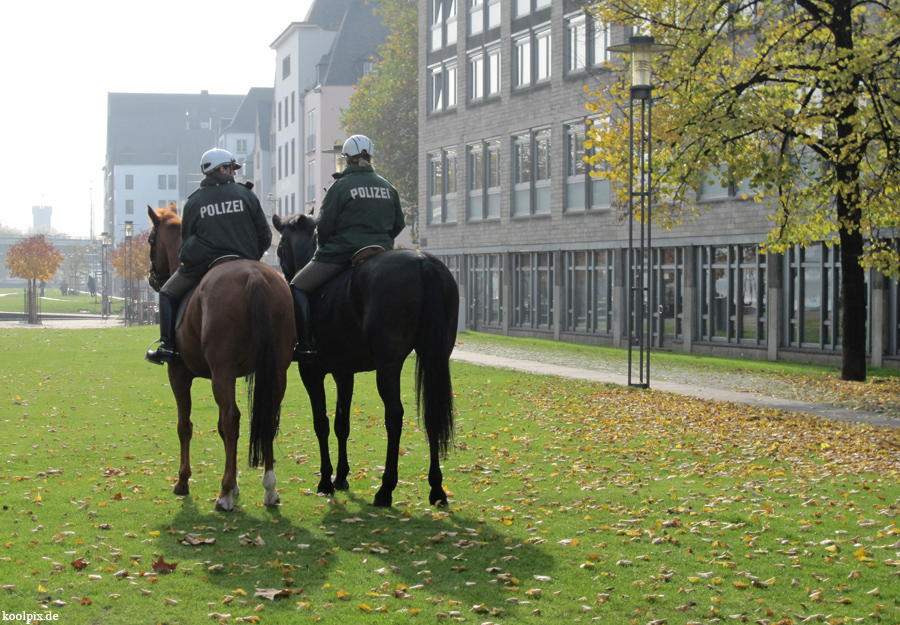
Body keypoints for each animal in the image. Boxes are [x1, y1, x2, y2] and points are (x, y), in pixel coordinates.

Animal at [147, 207, 296, 510]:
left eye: (151, 241)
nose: (152, 278)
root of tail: (254, 277)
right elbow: (220, 428)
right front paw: (236, 482)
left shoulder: (180, 374)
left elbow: (185, 426)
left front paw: (183, 481)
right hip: (275, 371)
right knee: (267, 416)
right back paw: (269, 488)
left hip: (222, 372)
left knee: (232, 419)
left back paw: (224, 493)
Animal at [272, 214, 458, 508]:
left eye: (279, 249)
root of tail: (422, 262)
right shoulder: (344, 373)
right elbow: (341, 424)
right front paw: (340, 477)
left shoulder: (311, 372)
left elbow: (321, 424)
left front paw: (326, 481)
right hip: (434, 357)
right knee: (431, 415)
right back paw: (437, 489)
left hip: (388, 366)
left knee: (394, 416)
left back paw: (385, 489)